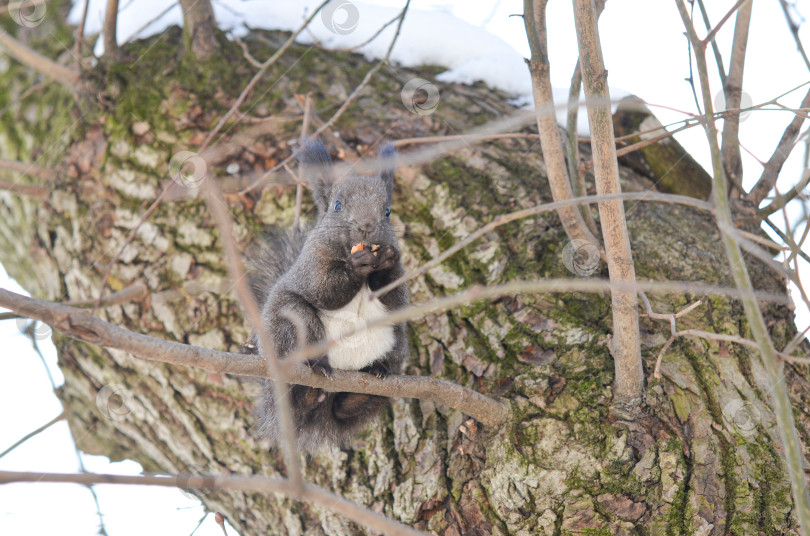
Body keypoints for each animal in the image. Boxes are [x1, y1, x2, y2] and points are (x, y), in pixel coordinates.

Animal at [245, 139, 410, 452]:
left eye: (387, 210)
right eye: (337, 205)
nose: (366, 226)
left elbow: (396, 300)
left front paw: (386, 262)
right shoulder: (312, 264)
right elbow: (324, 290)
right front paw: (356, 266)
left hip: (396, 342)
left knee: (343, 409)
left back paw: (370, 380)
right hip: (292, 323)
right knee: (298, 390)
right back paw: (313, 380)